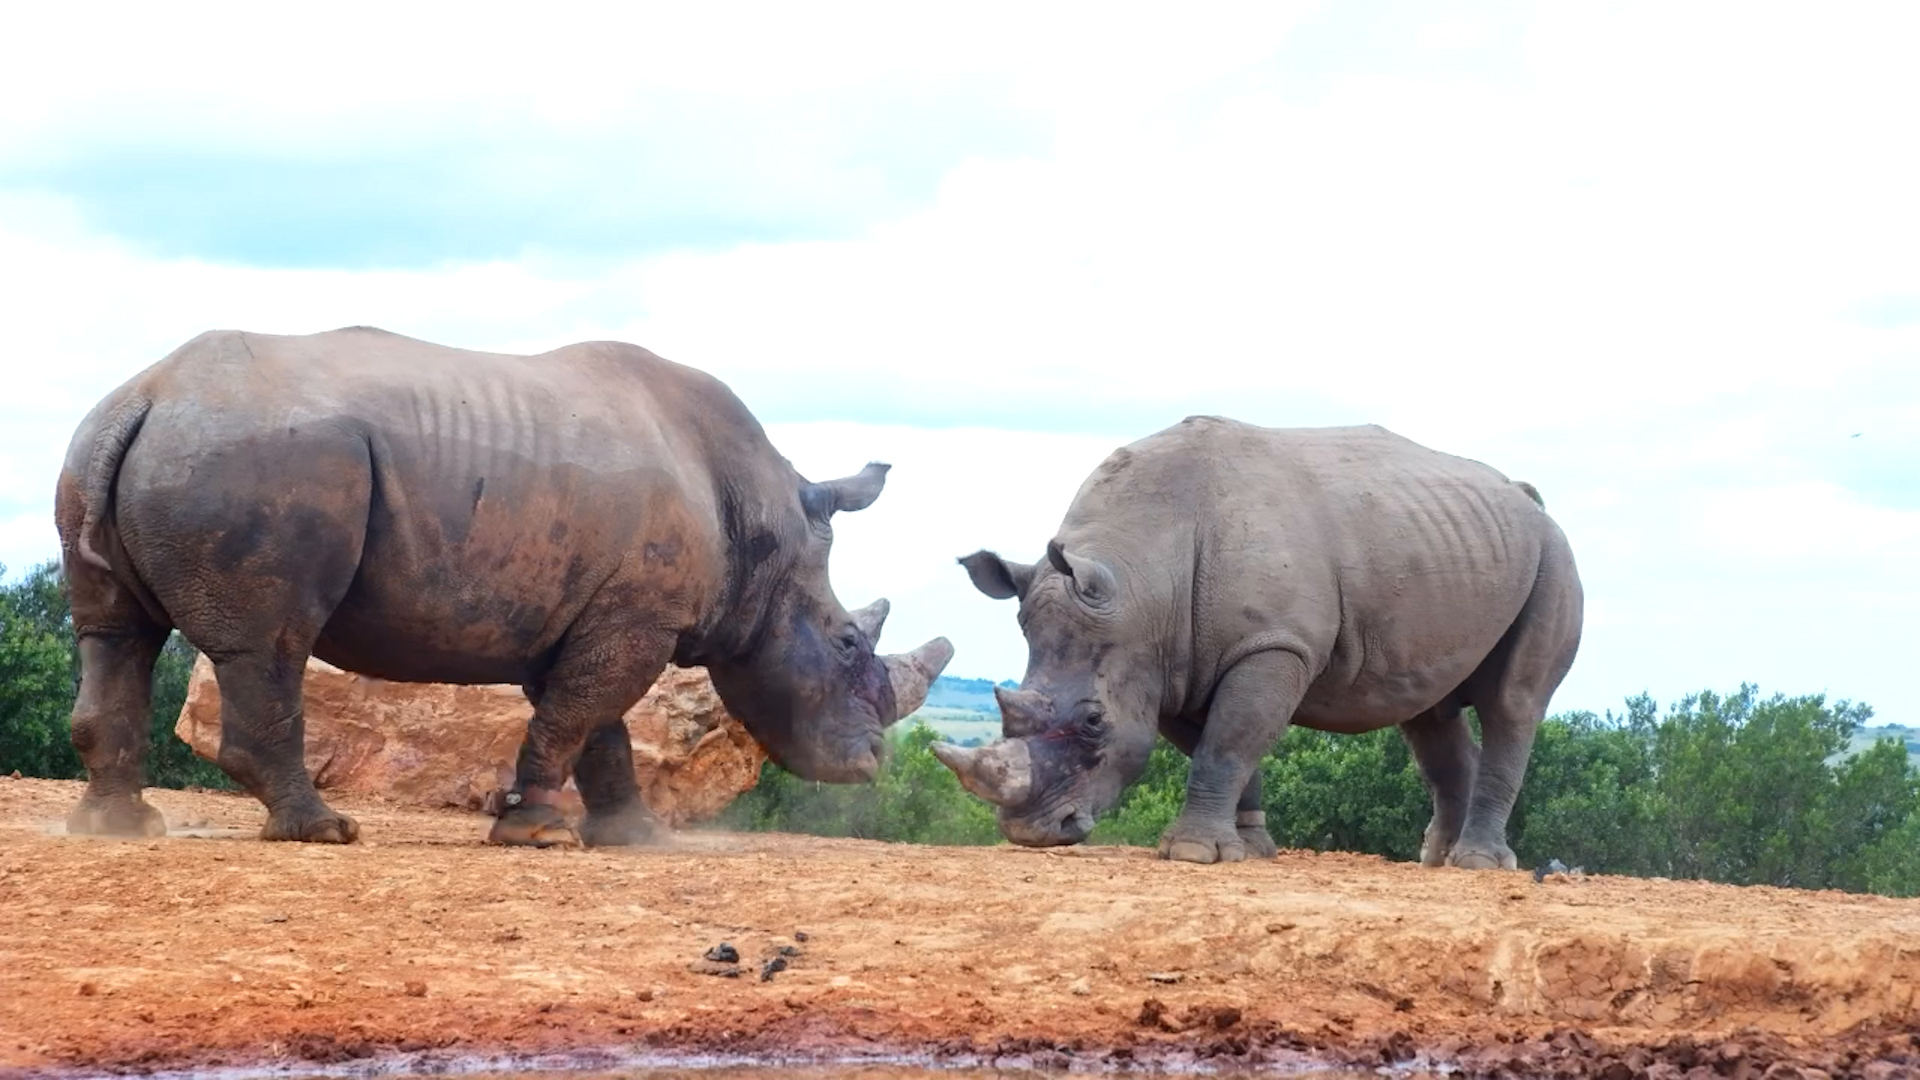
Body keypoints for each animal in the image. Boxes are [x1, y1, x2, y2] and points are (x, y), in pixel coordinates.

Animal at [54, 326, 953, 847]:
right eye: (846, 642)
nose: (872, 762)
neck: (763, 530)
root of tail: (147, 395)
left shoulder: (587, 610)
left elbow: (593, 723)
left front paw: (633, 839)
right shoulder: (636, 615)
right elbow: (583, 714)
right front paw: (540, 837)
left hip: (118, 446)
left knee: (116, 634)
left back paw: (120, 828)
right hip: (262, 460)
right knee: (268, 646)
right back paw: (324, 832)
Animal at [937, 417, 1582, 868]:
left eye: (1095, 722)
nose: (1033, 833)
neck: (1141, 583)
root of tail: (1527, 498)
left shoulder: (1272, 644)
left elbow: (1228, 741)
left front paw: (1193, 854)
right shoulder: (1174, 663)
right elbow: (1220, 743)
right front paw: (1246, 849)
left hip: (1553, 554)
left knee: (1513, 704)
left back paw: (1478, 864)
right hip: (1453, 544)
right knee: (1429, 714)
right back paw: (1438, 861)